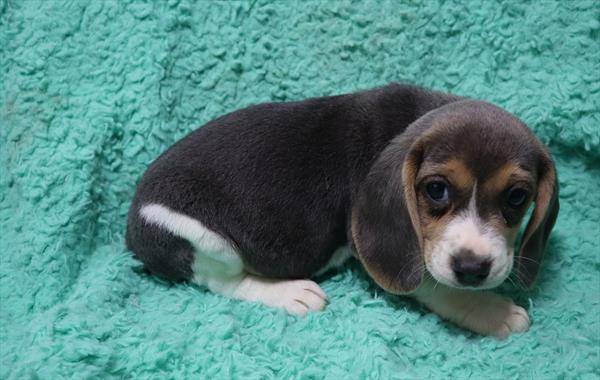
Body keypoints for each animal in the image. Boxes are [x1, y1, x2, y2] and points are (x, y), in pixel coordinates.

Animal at [126, 84, 556, 338]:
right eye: (436, 190)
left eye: (517, 197)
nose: (472, 269)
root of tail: (132, 226)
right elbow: (436, 286)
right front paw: (493, 312)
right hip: (200, 238)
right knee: (222, 282)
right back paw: (292, 293)